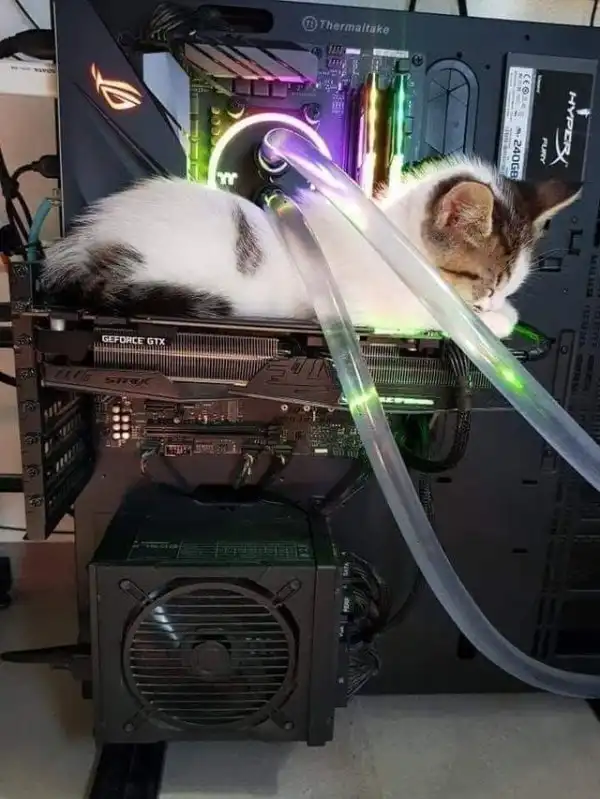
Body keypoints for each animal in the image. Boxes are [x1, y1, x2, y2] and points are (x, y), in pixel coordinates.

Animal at [41, 156, 581, 338]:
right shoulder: (368, 305)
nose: (492, 301)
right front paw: (494, 322)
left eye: (507, 283)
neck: (392, 241)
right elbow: (431, 315)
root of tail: (81, 243)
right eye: (480, 282)